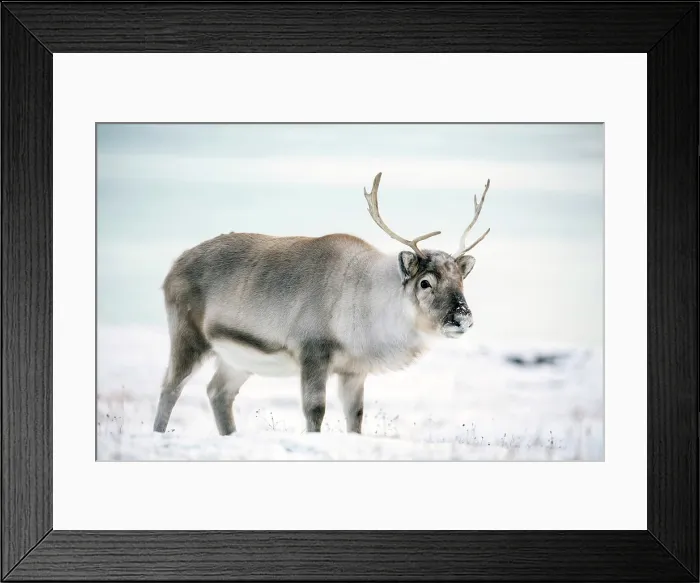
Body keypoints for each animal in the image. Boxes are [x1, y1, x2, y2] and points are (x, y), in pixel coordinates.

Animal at [153, 173, 491, 436]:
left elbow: (356, 416)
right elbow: (315, 411)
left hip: (237, 358)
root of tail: (172, 267)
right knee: (170, 386)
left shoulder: (354, 368)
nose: (462, 317)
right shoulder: (313, 352)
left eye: (461, 279)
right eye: (425, 282)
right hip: (188, 334)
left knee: (217, 392)